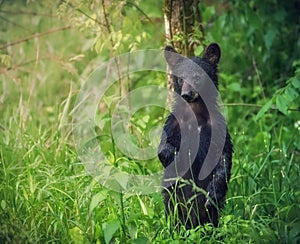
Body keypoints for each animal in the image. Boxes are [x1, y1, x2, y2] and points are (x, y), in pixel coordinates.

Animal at [158, 42, 233, 229]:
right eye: (180, 78)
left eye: (198, 76)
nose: (187, 94)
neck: (196, 114)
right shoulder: (173, 124)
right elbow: (162, 147)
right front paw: (173, 154)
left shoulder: (218, 128)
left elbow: (223, 156)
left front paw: (213, 194)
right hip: (173, 201)